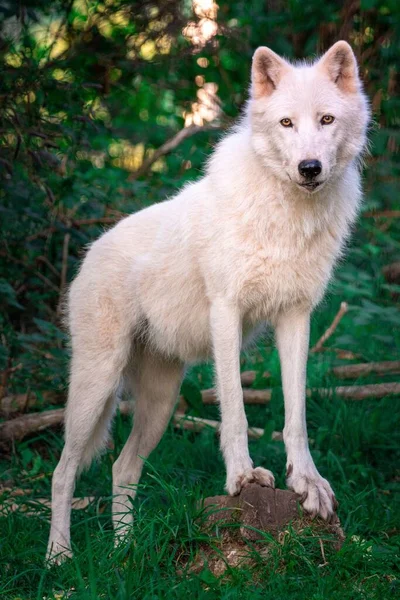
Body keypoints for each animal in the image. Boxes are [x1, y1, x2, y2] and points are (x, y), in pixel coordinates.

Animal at [46, 41, 368, 564]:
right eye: (286, 123)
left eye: (326, 119)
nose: (310, 168)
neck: (285, 215)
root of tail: (88, 255)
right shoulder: (226, 311)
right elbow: (234, 409)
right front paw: (242, 477)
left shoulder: (296, 316)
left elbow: (295, 415)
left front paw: (308, 483)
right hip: (97, 386)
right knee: (63, 471)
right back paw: (58, 557)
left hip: (160, 404)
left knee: (121, 468)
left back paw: (124, 554)